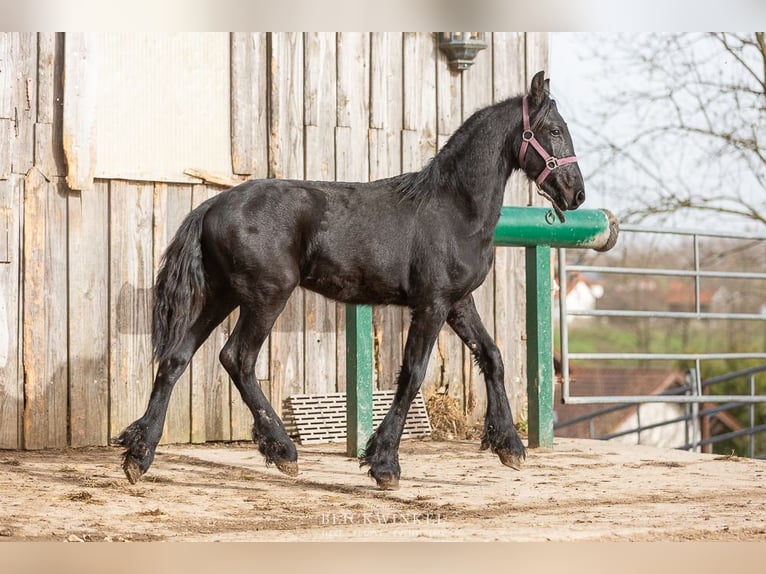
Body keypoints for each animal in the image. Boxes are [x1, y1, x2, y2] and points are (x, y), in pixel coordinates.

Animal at [118, 71, 588, 490]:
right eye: (553, 130)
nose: (576, 193)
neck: (453, 209)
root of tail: (212, 205)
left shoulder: (458, 303)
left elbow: (492, 356)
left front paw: (509, 446)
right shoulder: (432, 304)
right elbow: (413, 374)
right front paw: (384, 465)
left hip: (223, 295)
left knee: (176, 358)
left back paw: (139, 456)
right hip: (266, 297)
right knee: (237, 359)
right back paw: (283, 451)